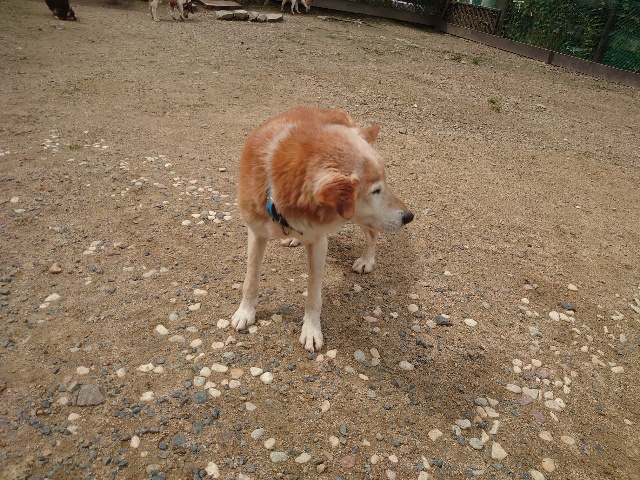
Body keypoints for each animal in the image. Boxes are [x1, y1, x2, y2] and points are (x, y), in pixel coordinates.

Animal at [231, 106, 414, 352]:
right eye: (375, 191)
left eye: (383, 186)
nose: (409, 217)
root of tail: (337, 111)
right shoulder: (256, 233)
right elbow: (250, 279)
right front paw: (245, 312)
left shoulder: (319, 243)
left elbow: (313, 296)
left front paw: (311, 330)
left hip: (362, 219)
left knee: (372, 233)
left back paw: (366, 260)